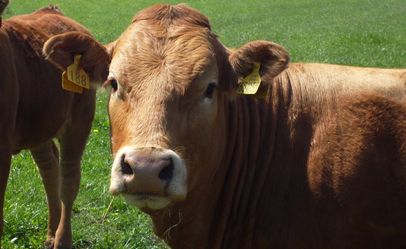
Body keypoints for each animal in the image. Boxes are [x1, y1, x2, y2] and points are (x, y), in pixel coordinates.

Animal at [0, 4, 108, 249]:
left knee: (69, 177)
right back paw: (51, 232)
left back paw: (61, 239)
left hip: (79, 121)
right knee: (49, 167)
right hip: (40, 123)